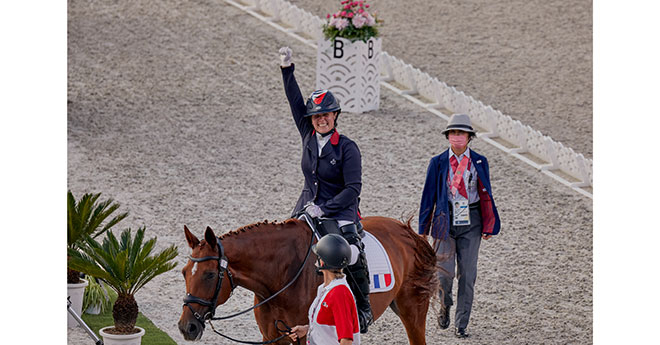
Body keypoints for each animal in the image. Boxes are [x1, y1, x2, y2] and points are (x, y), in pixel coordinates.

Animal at [179, 216, 438, 342]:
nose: (186, 327)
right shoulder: (272, 337)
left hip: (412, 310)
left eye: (210, 274)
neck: (281, 278)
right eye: (184, 272)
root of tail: (406, 231)